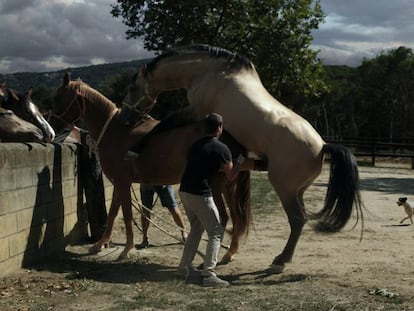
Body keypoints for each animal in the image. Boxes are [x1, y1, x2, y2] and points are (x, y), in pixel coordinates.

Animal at [50, 73, 254, 264]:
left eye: (58, 98)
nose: (52, 129)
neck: (113, 130)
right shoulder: (119, 182)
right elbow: (113, 213)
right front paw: (99, 244)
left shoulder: (123, 182)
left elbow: (126, 213)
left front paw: (126, 249)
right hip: (228, 186)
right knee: (236, 218)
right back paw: (230, 253)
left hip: (216, 185)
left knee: (224, 217)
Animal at [118, 44, 364, 276]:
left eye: (132, 88)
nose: (124, 119)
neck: (208, 70)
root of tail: (322, 146)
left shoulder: (194, 111)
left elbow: (163, 124)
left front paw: (134, 150)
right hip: (297, 191)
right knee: (299, 218)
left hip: (283, 188)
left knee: (297, 220)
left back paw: (279, 262)